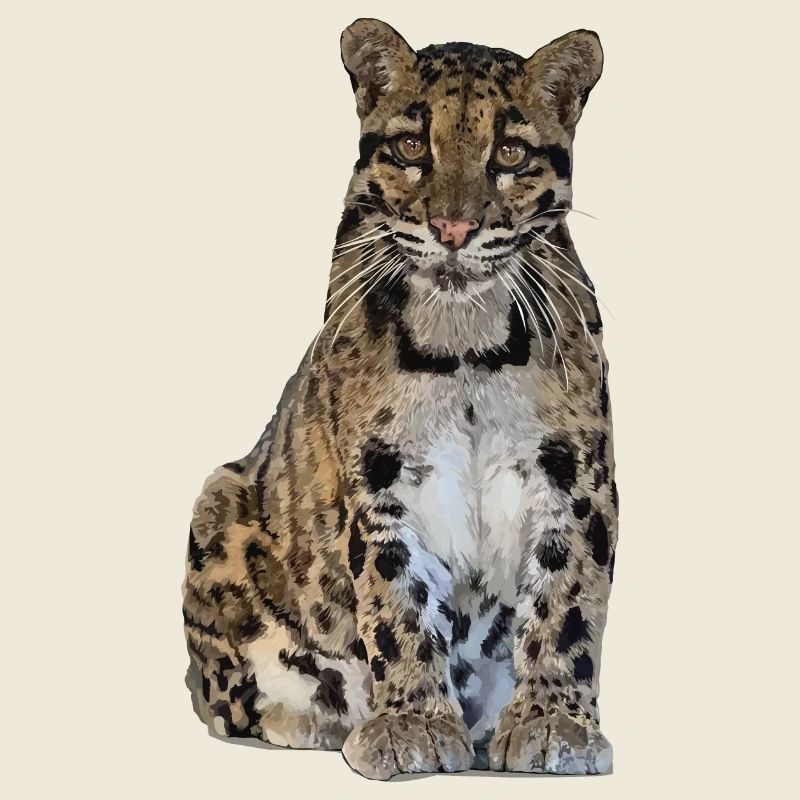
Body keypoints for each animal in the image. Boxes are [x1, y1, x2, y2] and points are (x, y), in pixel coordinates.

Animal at [182, 18, 617, 779]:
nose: (453, 230)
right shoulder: (378, 478)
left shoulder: (575, 475)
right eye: (414, 146)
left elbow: (567, 600)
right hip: (217, 501)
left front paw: (552, 721)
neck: (466, 344)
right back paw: (322, 718)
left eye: (509, 152)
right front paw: (412, 722)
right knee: (229, 697)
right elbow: (397, 602)